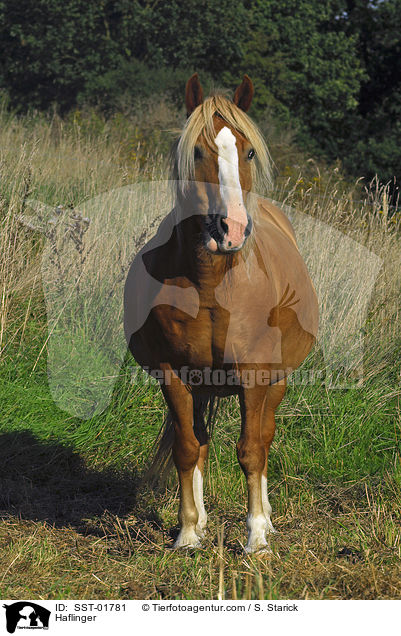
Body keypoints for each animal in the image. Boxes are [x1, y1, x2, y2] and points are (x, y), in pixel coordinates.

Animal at [123, 73, 318, 552]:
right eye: (196, 151)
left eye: (248, 151)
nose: (231, 230)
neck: (214, 283)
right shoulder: (174, 374)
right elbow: (187, 449)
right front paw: (188, 532)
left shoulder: (254, 375)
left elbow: (250, 450)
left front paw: (256, 538)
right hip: (202, 385)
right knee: (200, 442)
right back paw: (202, 521)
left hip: (276, 382)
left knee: (264, 438)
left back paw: (267, 520)